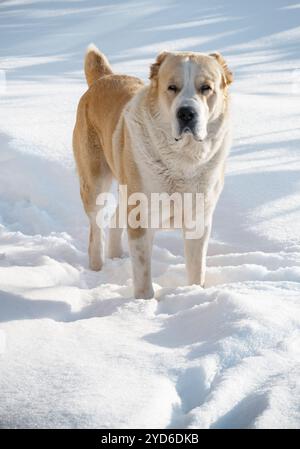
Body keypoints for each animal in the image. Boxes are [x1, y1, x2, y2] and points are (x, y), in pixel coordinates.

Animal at [72, 44, 232, 298]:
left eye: (206, 88)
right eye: (172, 87)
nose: (186, 113)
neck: (182, 160)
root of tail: (103, 78)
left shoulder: (199, 219)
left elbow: (196, 269)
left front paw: (194, 293)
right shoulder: (141, 217)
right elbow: (142, 270)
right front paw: (144, 301)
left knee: (115, 218)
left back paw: (116, 256)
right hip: (94, 184)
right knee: (96, 231)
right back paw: (97, 268)